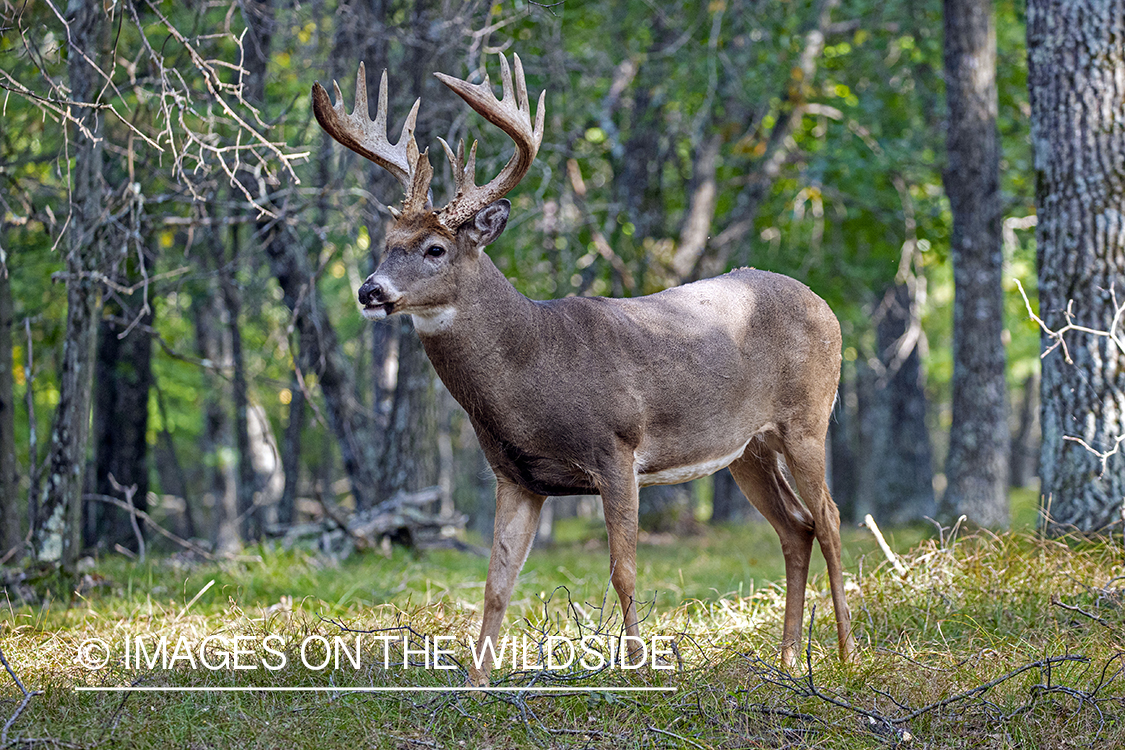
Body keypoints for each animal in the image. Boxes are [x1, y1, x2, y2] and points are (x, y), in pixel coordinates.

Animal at [312, 52, 855, 688]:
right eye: (386, 242)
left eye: (435, 250)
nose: (369, 291)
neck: (533, 366)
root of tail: (825, 306)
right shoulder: (515, 476)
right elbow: (497, 584)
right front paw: (475, 685)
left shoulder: (616, 447)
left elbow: (623, 569)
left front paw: (638, 668)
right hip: (747, 448)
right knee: (795, 527)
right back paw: (790, 659)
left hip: (807, 418)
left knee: (830, 518)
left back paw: (847, 655)